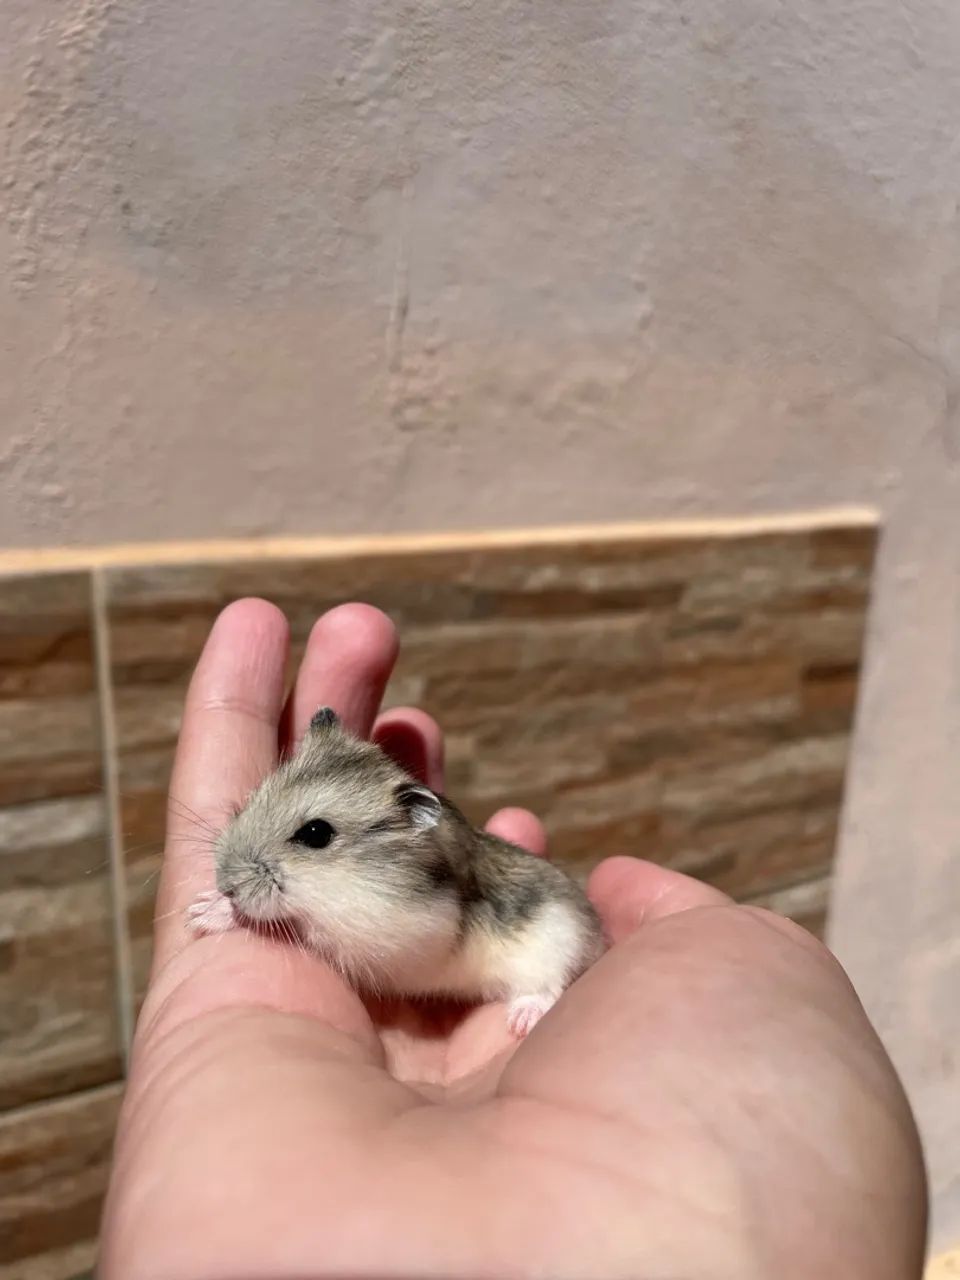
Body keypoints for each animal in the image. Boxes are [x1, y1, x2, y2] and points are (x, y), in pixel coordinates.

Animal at [188, 706, 606, 1037]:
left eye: (316, 834)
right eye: (256, 794)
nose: (225, 881)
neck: (346, 876)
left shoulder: (380, 938)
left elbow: (295, 927)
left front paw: (208, 912)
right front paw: (202, 908)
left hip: (559, 939)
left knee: (548, 984)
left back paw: (521, 1021)